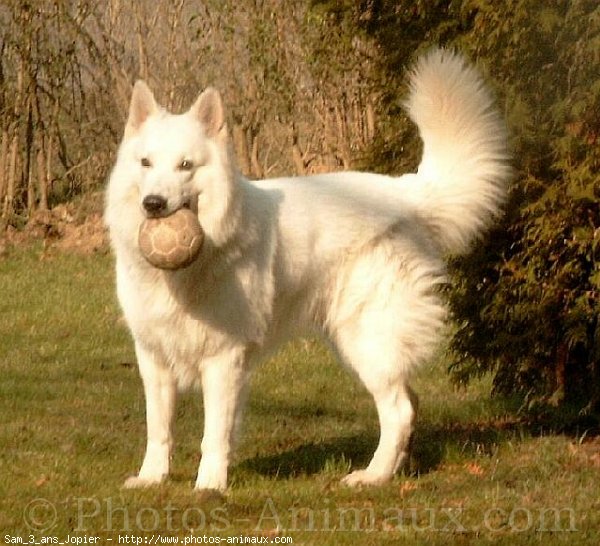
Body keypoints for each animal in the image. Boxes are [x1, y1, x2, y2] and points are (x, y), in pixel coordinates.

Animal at [105, 47, 508, 488]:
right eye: (146, 163)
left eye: (185, 166)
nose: (154, 205)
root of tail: (404, 192)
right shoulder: (154, 358)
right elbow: (159, 428)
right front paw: (152, 479)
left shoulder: (223, 359)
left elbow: (214, 434)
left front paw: (209, 487)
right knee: (409, 403)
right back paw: (394, 470)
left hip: (365, 339)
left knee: (400, 408)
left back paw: (371, 476)